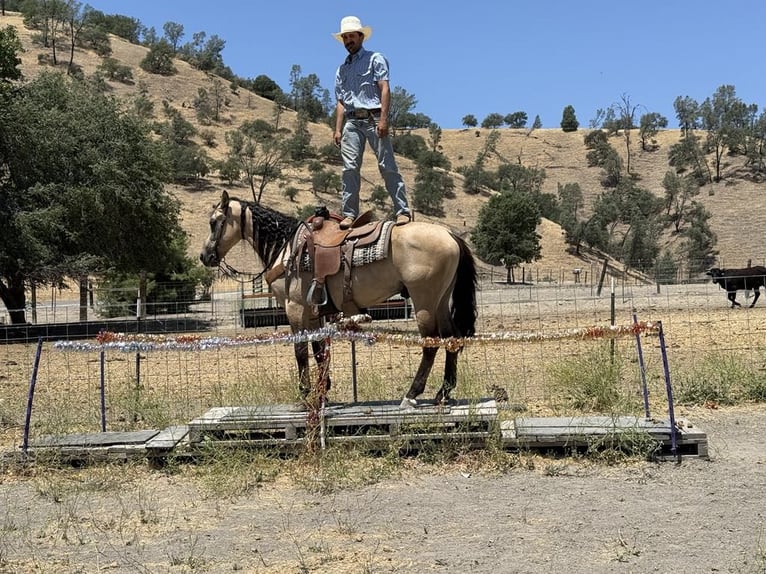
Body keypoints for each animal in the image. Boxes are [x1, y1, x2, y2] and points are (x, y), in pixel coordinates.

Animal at [199, 190, 478, 408]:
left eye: (214, 222)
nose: (205, 256)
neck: (287, 248)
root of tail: (449, 235)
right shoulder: (313, 313)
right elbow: (319, 351)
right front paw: (322, 394)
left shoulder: (295, 308)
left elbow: (300, 351)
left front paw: (305, 396)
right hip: (440, 300)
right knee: (452, 338)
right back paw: (443, 393)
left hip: (424, 301)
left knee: (431, 344)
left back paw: (411, 395)